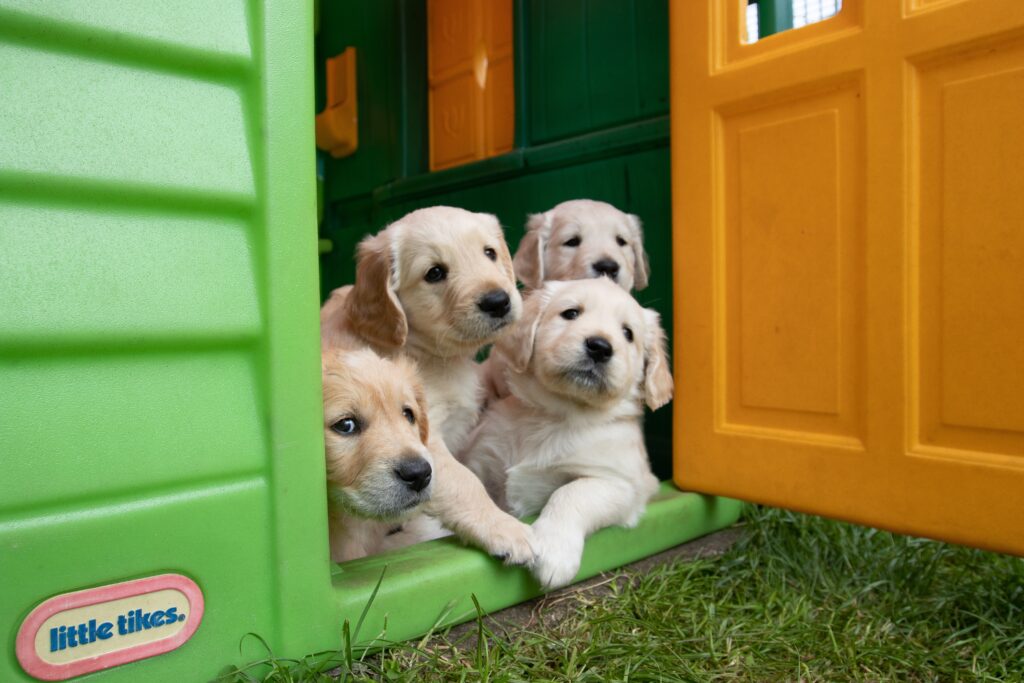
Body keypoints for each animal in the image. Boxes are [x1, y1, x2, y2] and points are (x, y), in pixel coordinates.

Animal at [458, 280, 671, 589]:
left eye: (628, 333)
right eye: (571, 313)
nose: (600, 347)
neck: (556, 413)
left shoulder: (622, 482)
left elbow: (571, 492)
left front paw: (553, 552)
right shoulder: (482, 460)